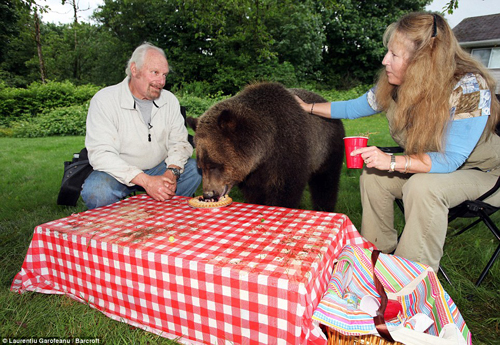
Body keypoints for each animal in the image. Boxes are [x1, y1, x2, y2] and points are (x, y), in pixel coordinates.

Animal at [188, 82, 344, 211]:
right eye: (201, 167)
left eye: (214, 165)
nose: (208, 194)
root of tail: (324, 99)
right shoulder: (253, 174)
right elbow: (255, 193)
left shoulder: (288, 152)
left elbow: (286, 191)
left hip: (327, 148)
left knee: (326, 183)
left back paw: (324, 207)